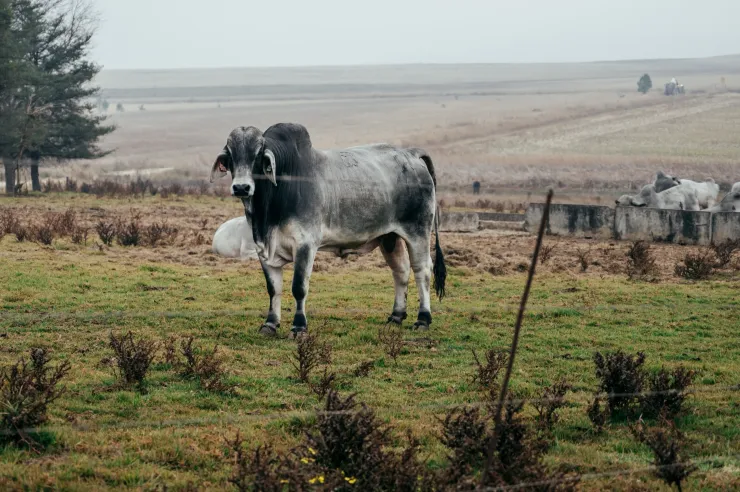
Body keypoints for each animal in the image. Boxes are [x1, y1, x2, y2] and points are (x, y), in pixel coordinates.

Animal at [210, 123, 446, 338]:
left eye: (258, 154)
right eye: (230, 154)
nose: (241, 187)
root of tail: (411, 153)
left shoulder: (305, 244)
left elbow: (299, 287)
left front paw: (299, 327)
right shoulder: (264, 249)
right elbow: (273, 288)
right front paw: (270, 324)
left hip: (418, 232)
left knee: (422, 270)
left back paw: (423, 319)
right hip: (389, 237)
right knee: (401, 271)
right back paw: (396, 316)